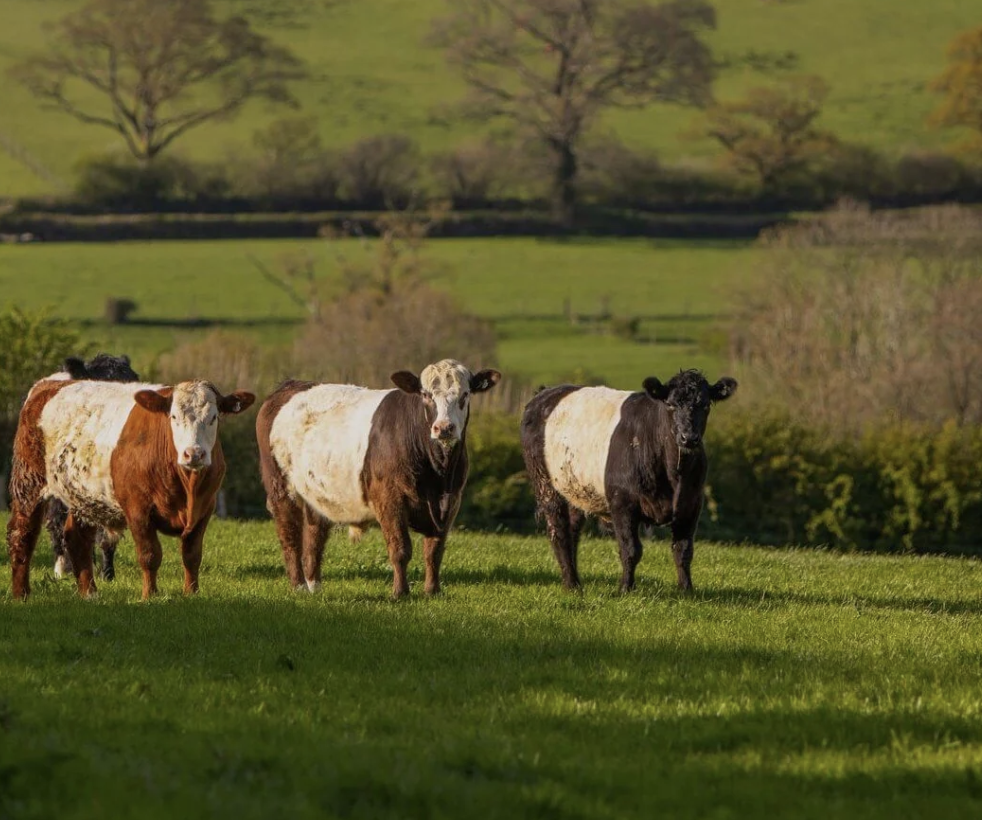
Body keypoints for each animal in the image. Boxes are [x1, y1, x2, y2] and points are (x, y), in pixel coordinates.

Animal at [7, 379, 255, 600]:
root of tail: (47, 385)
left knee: (77, 538)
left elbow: (192, 555)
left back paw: (89, 593)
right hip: (29, 482)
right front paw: (150, 596)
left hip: (84, 496)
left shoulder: (205, 508)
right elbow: (150, 555)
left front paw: (191, 594)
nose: (194, 453)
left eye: (214, 418)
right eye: (174, 417)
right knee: (22, 534)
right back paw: (21, 594)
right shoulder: (138, 508)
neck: (187, 487)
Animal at [257, 359, 501, 598]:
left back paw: (314, 586)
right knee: (289, 536)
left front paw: (433, 591)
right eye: (426, 395)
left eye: (465, 394)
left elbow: (434, 551)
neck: (438, 474)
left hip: (316, 493)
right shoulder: (389, 498)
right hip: (280, 487)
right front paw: (400, 593)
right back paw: (298, 586)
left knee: (314, 535)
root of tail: (291, 385)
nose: (444, 428)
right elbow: (400, 548)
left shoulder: (451, 502)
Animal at [520, 369, 737, 593]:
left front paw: (686, 590)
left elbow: (683, 550)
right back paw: (572, 585)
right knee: (559, 531)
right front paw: (625, 588)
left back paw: (574, 581)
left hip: (575, 489)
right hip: (545, 484)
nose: (689, 438)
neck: (673, 475)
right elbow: (631, 549)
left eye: (706, 405)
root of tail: (545, 392)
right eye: (670, 404)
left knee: (573, 530)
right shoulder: (622, 501)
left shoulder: (691, 502)